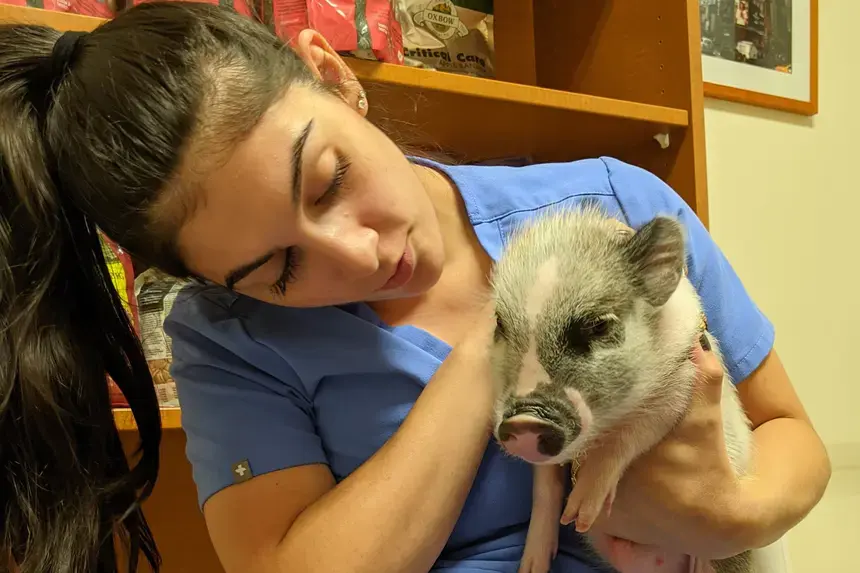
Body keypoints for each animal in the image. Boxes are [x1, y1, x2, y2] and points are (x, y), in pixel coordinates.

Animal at [488, 203, 755, 573]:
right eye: (499, 324)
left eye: (599, 325)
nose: (526, 419)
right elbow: (544, 487)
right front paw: (532, 566)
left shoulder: (683, 379)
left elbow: (633, 432)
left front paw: (581, 514)